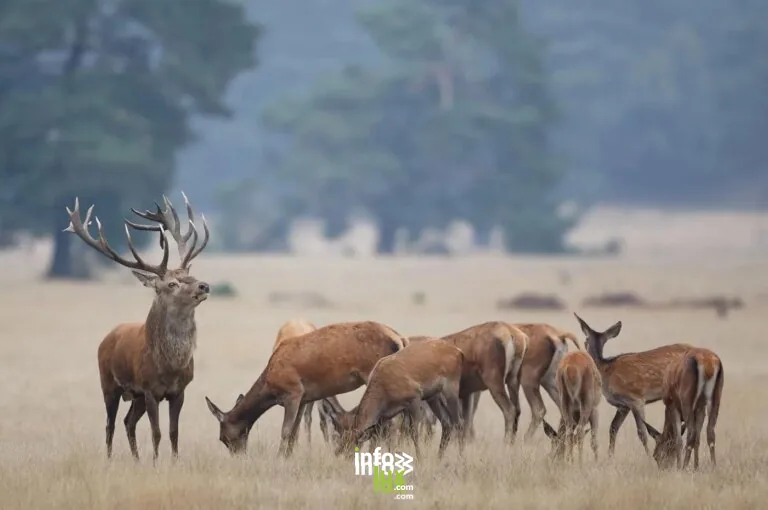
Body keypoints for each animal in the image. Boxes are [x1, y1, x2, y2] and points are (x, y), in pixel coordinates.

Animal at [63, 193, 211, 462]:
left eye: (190, 275)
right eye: (171, 284)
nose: (203, 286)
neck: (170, 367)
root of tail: (108, 336)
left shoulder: (179, 391)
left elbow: (174, 432)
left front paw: (173, 462)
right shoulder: (150, 390)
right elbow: (157, 433)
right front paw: (156, 463)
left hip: (136, 396)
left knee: (127, 421)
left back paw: (136, 459)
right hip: (108, 383)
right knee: (110, 423)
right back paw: (110, 459)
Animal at [205, 321, 406, 457]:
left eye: (223, 437)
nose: (238, 456)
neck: (270, 383)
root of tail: (399, 339)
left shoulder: (293, 392)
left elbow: (286, 431)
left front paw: (279, 458)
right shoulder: (305, 398)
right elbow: (295, 432)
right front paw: (288, 458)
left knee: (389, 423)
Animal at [331, 337, 465, 459]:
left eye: (353, 446)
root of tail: (459, 352)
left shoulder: (414, 396)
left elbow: (413, 432)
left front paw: (419, 459)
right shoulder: (385, 416)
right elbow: (379, 437)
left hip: (451, 388)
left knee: (459, 422)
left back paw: (461, 458)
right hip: (433, 397)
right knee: (447, 423)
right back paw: (439, 458)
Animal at [573, 313, 694, 456]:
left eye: (585, 340)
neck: (607, 372)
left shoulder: (636, 399)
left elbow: (642, 433)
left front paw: (648, 457)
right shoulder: (623, 406)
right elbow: (613, 428)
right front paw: (610, 457)